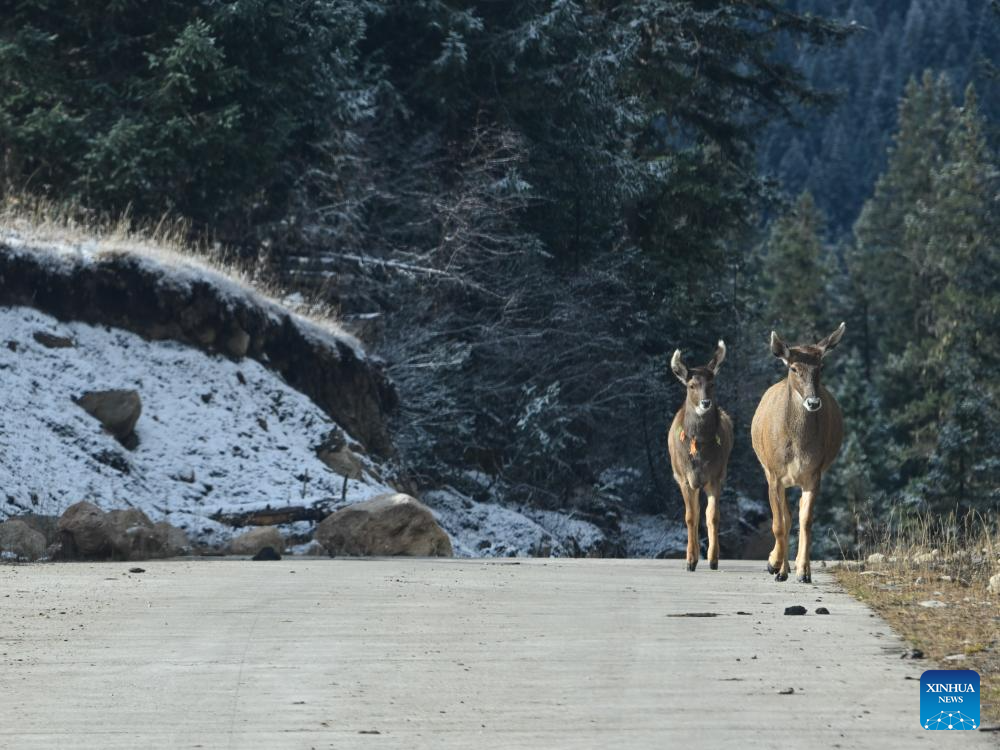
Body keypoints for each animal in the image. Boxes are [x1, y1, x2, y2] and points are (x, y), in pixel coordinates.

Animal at [668, 338, 740, 572]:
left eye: (712, 384)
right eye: (691, 385)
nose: (705, 403)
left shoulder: (715, 477)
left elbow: (713, 516)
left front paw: (713, 559)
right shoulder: (684, 478)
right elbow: (691, 517)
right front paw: (690, 561)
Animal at [752, 324, 844, 588]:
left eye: (821, 366)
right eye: (794, 367)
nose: (813, 402)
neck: (797, 447)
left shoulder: (814, 474)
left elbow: (806, 520)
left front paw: (803, 572)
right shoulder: (774, 473)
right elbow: (778, 523)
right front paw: (773, 564)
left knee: (796, 514)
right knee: (784, 517)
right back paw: (780, 569)